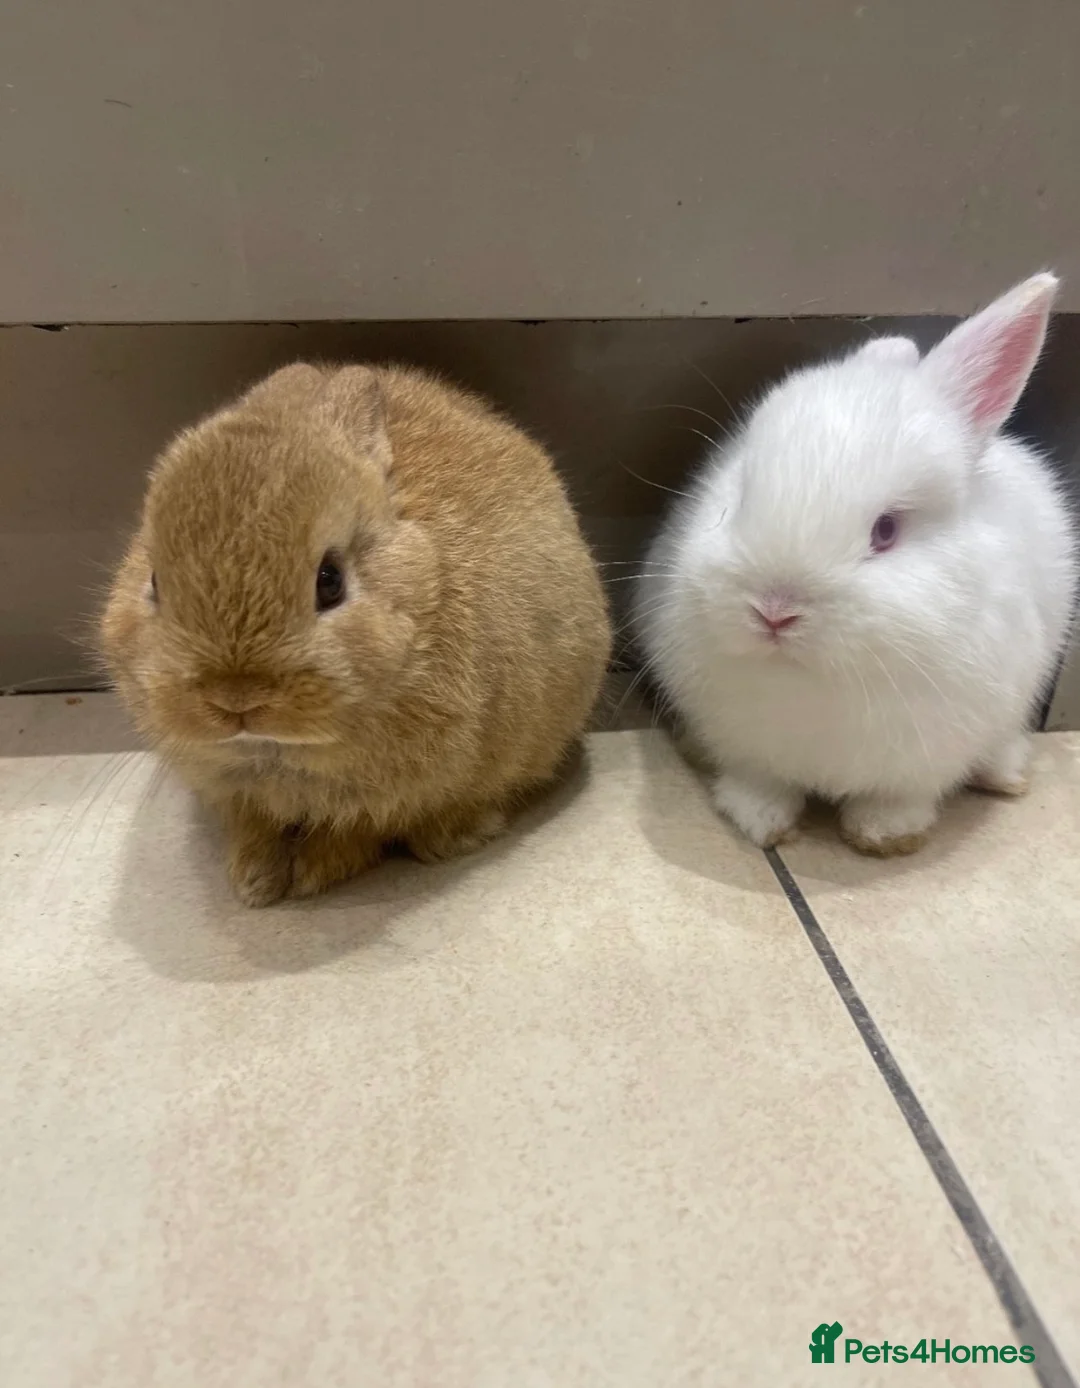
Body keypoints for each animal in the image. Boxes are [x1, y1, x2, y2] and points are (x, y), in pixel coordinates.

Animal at [101, 362, 611, 904]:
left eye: (330, 581)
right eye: (154, 582)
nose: (236, 699)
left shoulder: (398, 796)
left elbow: (358, 830)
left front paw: (310, 874)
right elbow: (256, 827)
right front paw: (254, 882)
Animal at [633, 273, 1077, 857]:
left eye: (886, 531)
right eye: (738, 497)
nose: (774, 611)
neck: (810, 679)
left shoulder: (927, 758)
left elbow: (900, 799)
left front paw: (883, 834)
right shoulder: (747, 747)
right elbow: (761, 783)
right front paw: (761, 822)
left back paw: (1005, 774)